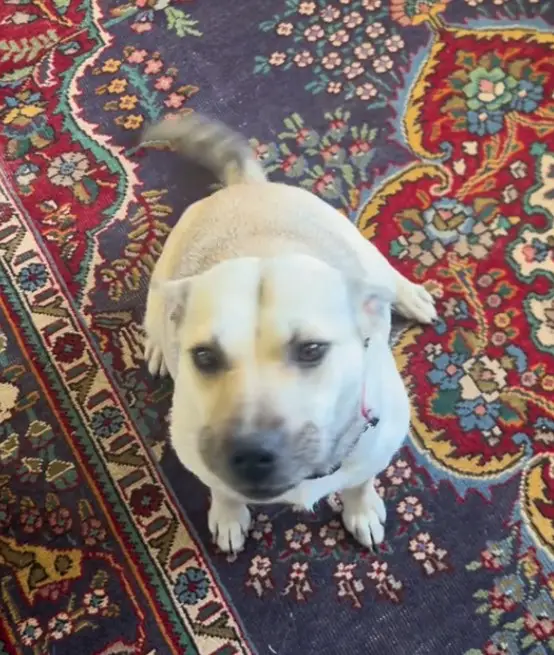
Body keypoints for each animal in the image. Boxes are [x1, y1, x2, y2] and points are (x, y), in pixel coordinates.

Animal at [142, 113, 436, 552]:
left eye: (311, 350)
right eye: (205, 357)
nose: (249, 454)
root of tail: (248, 188)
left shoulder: (375, 449)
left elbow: (360, 483)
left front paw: (361, 509)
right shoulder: (198, 456)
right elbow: (222, 490)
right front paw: (228, 516)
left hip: (358, 245)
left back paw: (406, 294)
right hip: (160, 284)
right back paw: (158, 347)